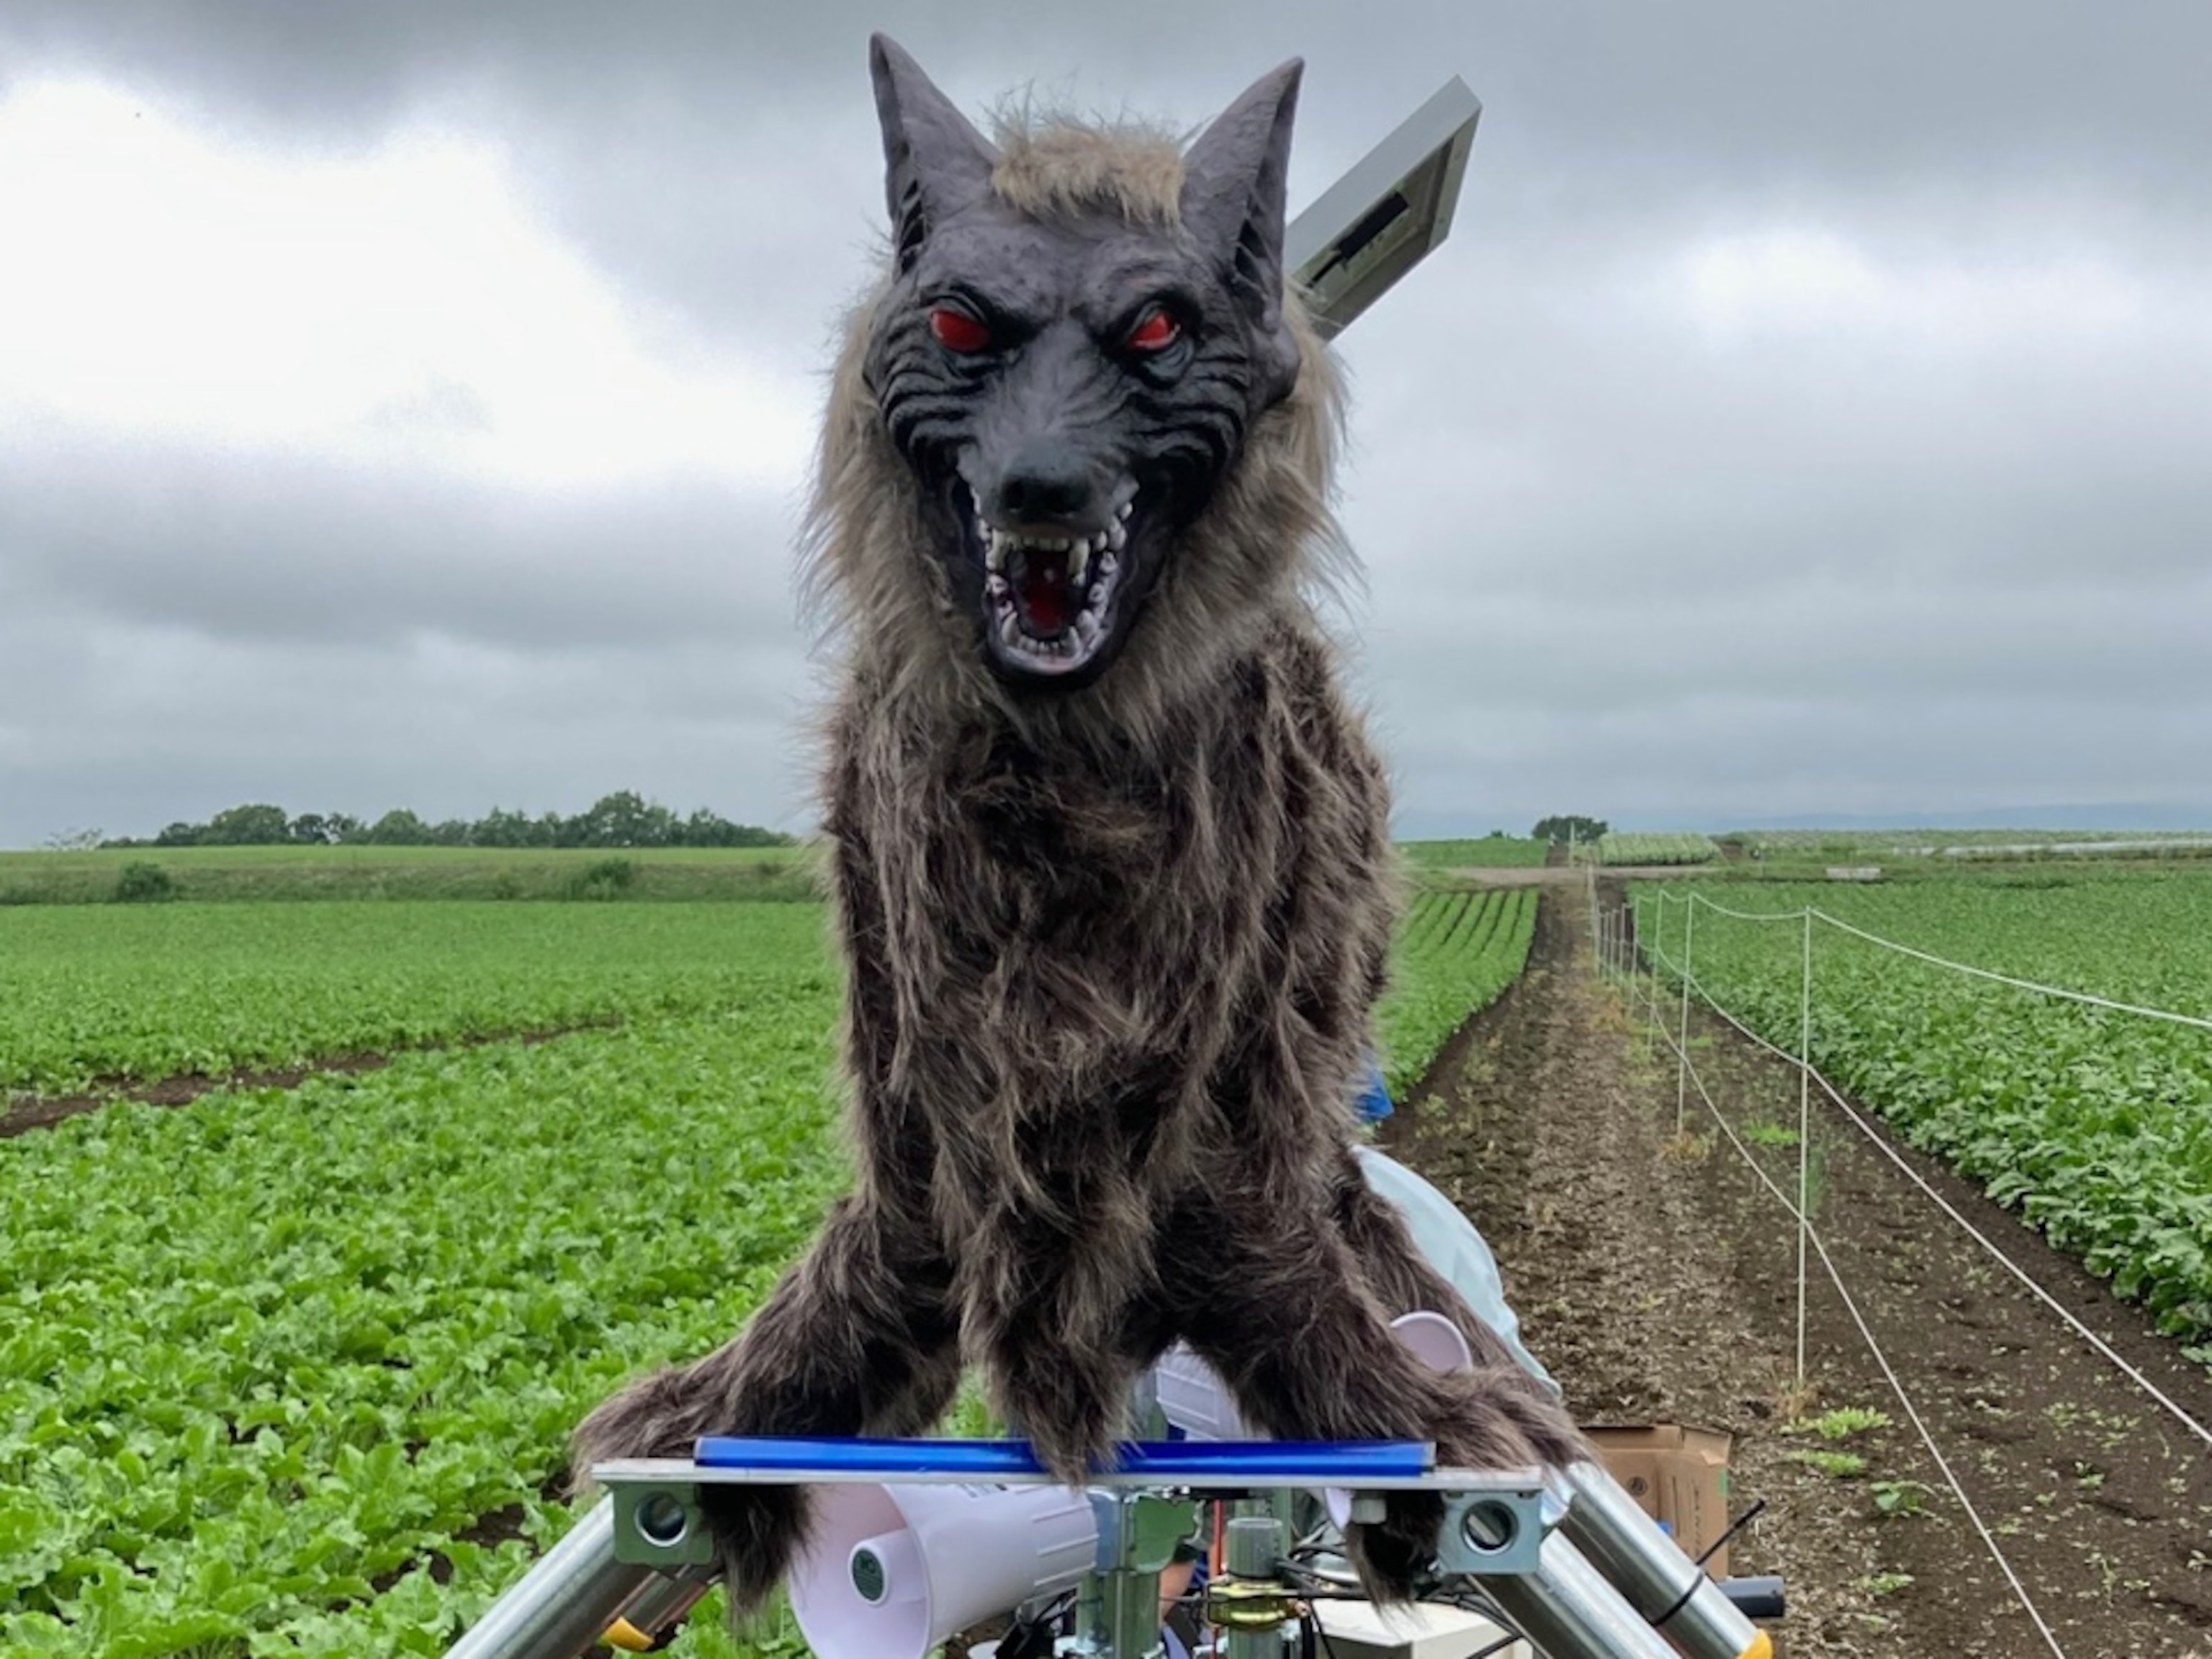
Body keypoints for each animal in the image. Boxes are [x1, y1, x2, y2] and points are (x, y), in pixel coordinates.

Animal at [574, 34, 1585, 1614]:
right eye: (959, 325)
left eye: (1157, 328)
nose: (1041, 480)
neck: (1058, 769)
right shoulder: (913, 1065)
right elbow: (873, 1267)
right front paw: (738, 1399)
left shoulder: (1229, 1086)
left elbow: (1279, 1251)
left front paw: (1409, 1403)